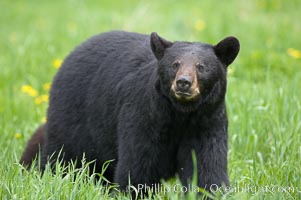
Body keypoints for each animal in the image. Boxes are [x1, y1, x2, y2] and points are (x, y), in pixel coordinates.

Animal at [19, 30, 239, 194]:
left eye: (201, 66)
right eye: (174, 64)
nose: (183, 82)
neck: (180, 114)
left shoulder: (207, 122)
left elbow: (206, 167)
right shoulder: (144, 116)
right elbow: (138, 164)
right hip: (72, 115)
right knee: (61, 154)